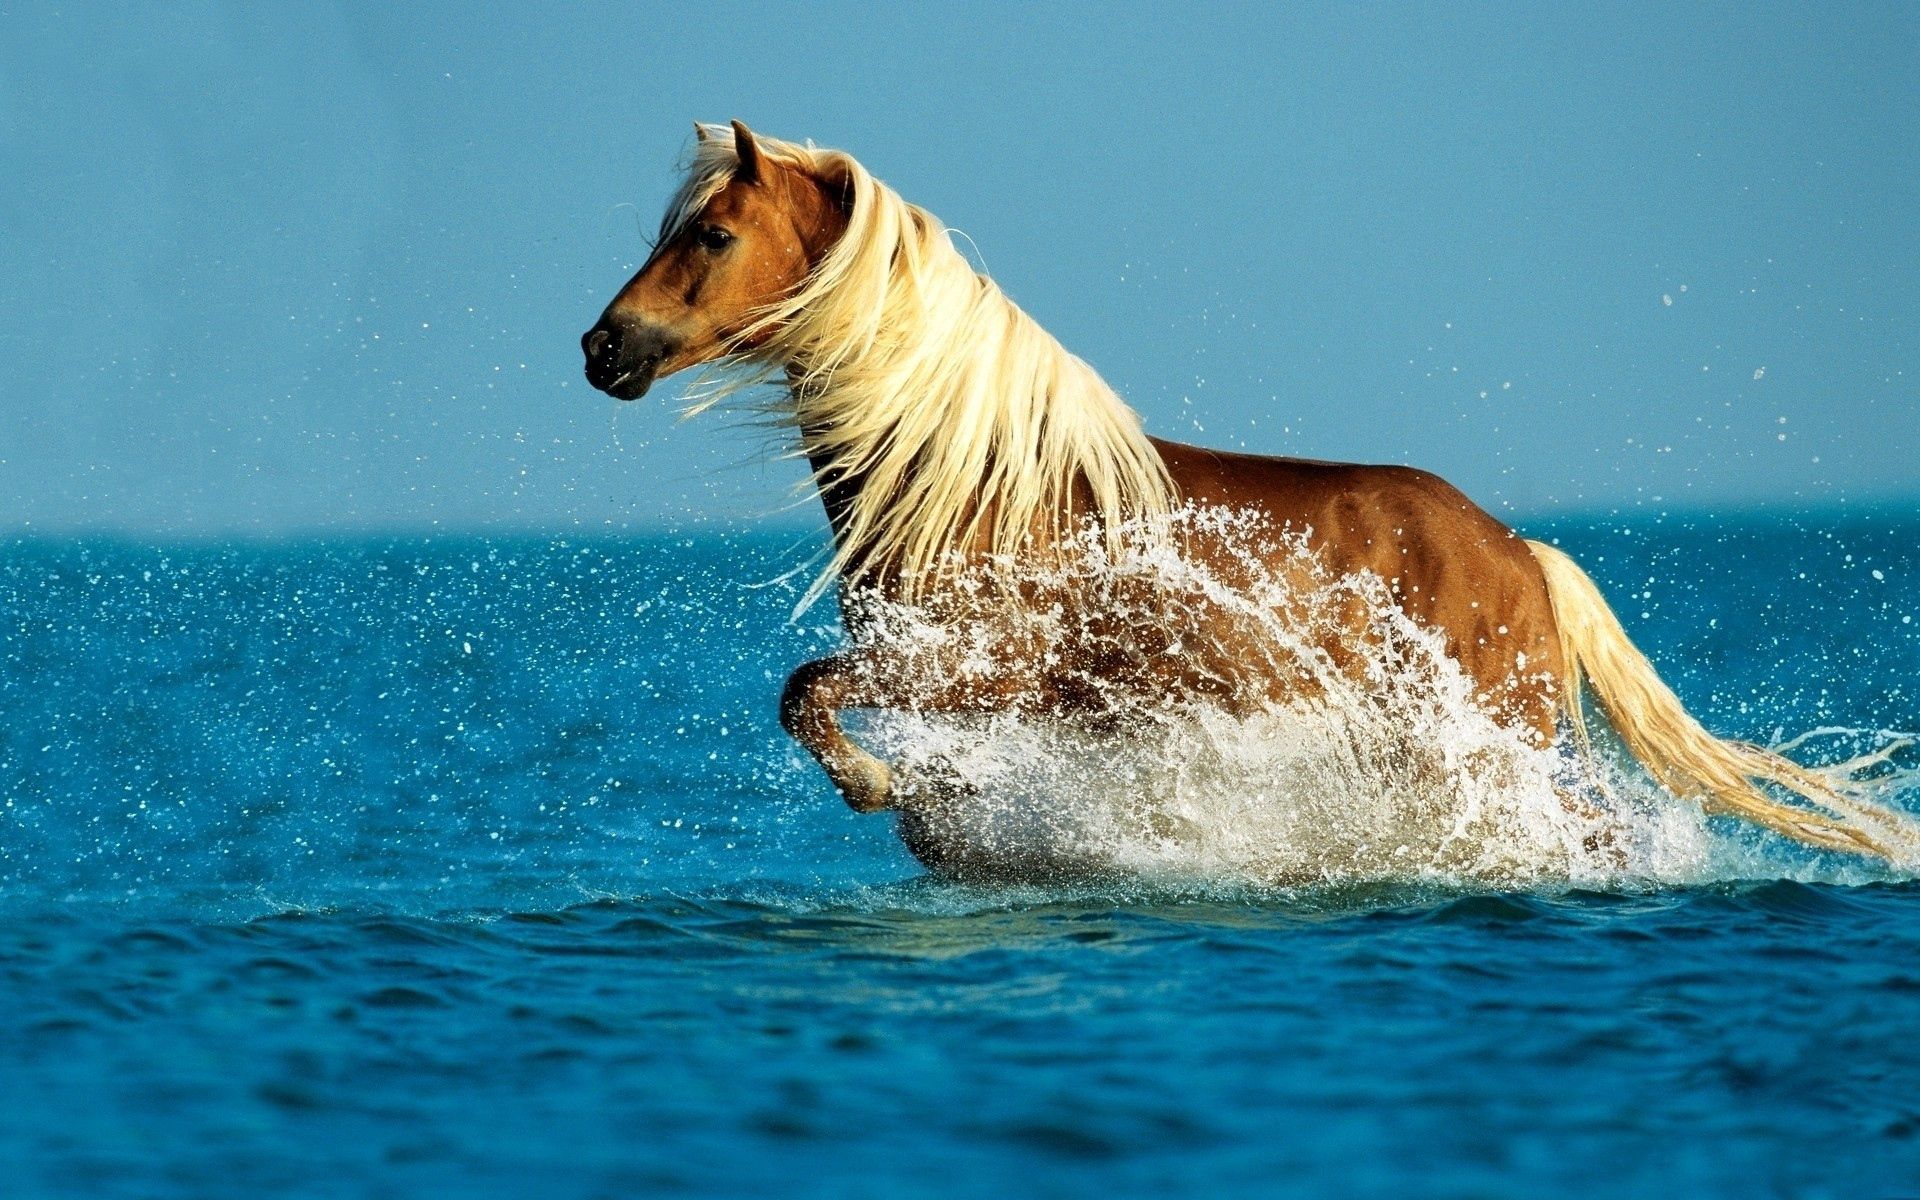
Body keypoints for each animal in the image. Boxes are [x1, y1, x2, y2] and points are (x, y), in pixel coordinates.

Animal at [576, 121, 1912, 864]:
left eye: (710, 235)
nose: (604, 348)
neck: (978, 484)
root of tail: (1524, 553)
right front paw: (928, 816)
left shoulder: (972, 669)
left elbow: (805, 696)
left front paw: (875, 786)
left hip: (1497, 743)